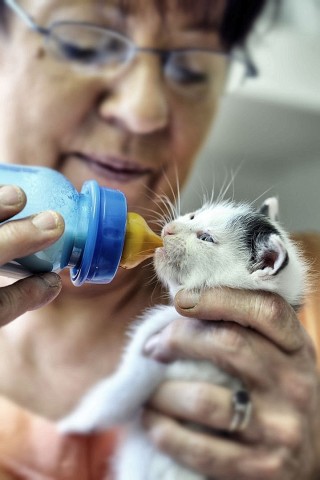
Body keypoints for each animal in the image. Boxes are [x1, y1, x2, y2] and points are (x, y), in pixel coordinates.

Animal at [57, 197, 308, 478]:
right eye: (193, 216)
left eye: (206, 238)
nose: (169, 230)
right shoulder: (151, 339)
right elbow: (123, 388)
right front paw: (72, 425)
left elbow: (119, 390)